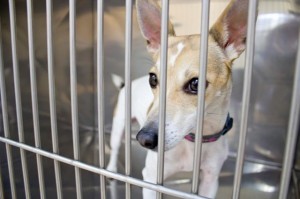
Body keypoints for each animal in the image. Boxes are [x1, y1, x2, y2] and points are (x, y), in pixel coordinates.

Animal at [106, 0, 250, 197]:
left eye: (196, 83)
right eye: (153, 79)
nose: (144, 139)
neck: (194, 141)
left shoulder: (210, 181)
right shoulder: (150, 179)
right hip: (119, 124)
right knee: (114, 148)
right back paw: (112, 169)